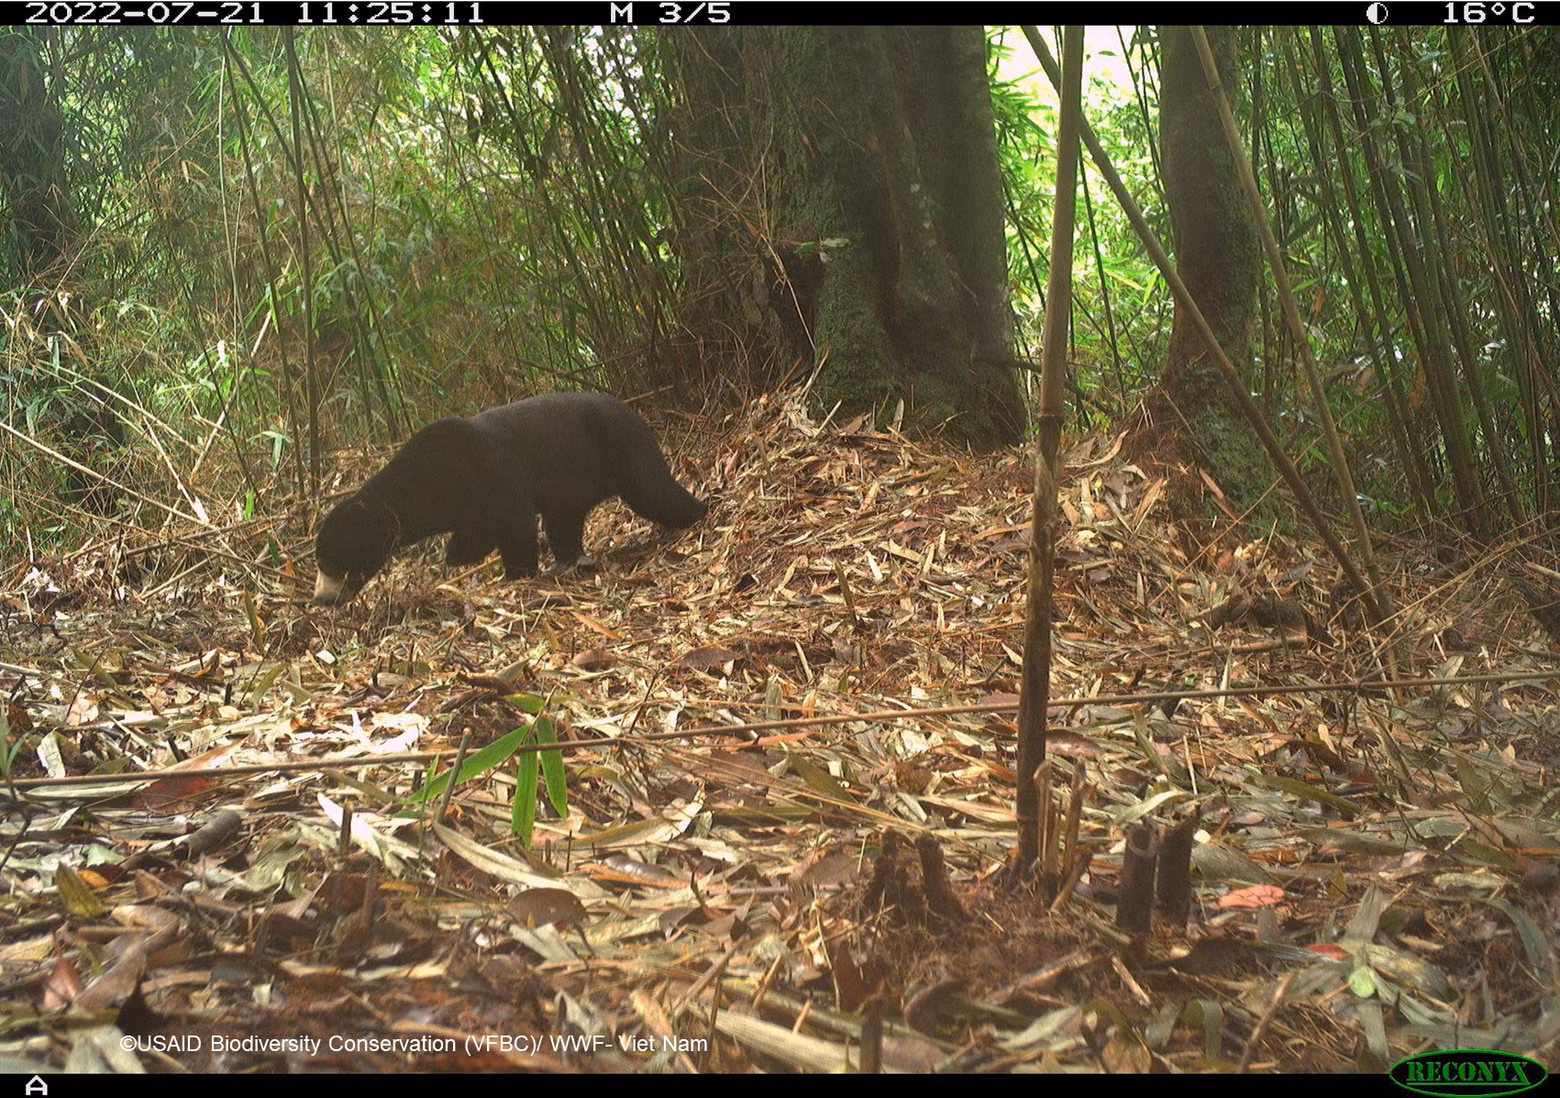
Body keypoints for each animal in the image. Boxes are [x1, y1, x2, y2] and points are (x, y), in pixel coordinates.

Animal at [312, 392, 707, 604]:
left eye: (331, 564)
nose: (321, 598)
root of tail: (636, 414)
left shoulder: (488, 473)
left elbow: (512, 521)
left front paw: (503, 570)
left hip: (623, 451)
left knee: (655, 492)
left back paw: (700, 511)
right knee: (563, 522)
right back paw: (566, 561)